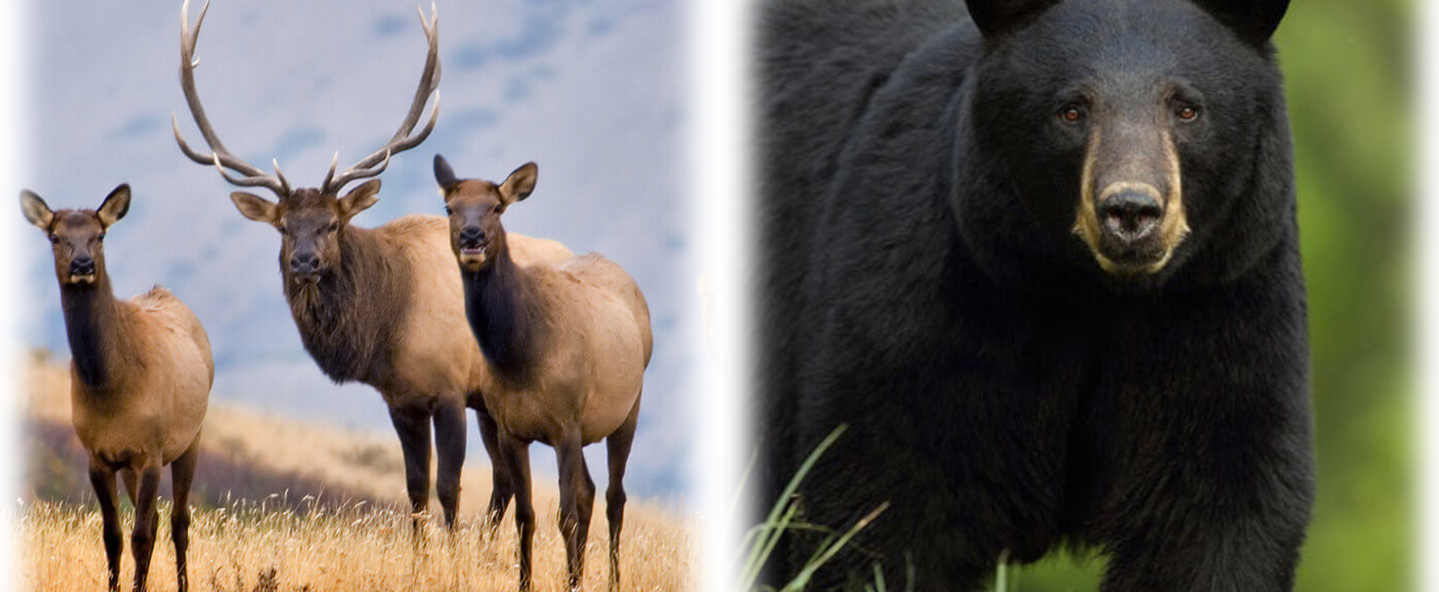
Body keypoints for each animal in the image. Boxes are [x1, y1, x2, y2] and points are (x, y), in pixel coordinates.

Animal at [21, 184, 213, 592]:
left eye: (100, 235)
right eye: (55, 236)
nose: (82, 265)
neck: (111, 387)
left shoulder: (152, 450)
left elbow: (140, 536)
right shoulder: (99, 455)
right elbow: (113, 536)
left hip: (191, 437)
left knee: (179, 521)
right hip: (132, 464)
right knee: (156, 519)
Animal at [170, 0, 572, 533]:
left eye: (334, 223)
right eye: (283, 227)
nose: (304, 262)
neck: (388, 324)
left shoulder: (450, 388)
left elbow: (449, 488)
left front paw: (450, 551)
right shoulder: (400, 400)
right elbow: (416, 489)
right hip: (493, 402)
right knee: (504, 480)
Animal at [433, 155, 653, 592]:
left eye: (496, 208)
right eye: (450, 207)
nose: (471, 237)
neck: (521, 359)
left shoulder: (565, 424)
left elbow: (565, 515)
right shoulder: (511, 428)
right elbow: (526, 516)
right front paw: (528, 582)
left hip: (628, 408)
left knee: (614, 497)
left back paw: (612, 581)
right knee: (589, 492)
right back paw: (578, 576)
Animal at [753, 0, 1312, 590]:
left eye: (1187, 108)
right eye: (1071, 110)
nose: (1131, 211)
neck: (1094, 294)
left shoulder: (1222, 301)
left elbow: (1213, 511)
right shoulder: (929, 305)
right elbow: (883, 498)